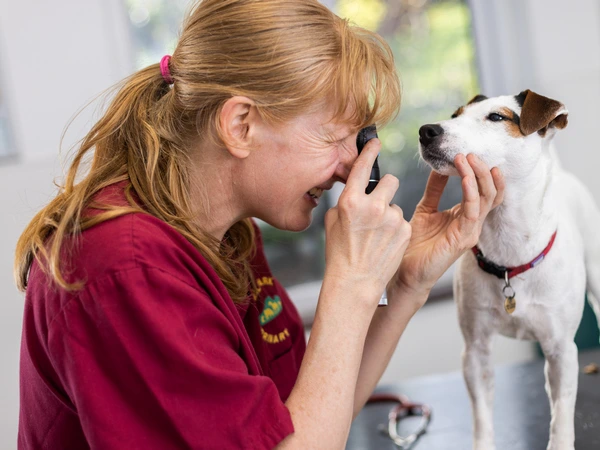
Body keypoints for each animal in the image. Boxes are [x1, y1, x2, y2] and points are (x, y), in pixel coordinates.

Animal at [420, 90, 600, 450]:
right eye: (455, 115)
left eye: (496, 117)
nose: (426, 131)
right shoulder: (475, 352)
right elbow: (482, 417)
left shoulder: (562, 348)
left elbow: (562, 416)